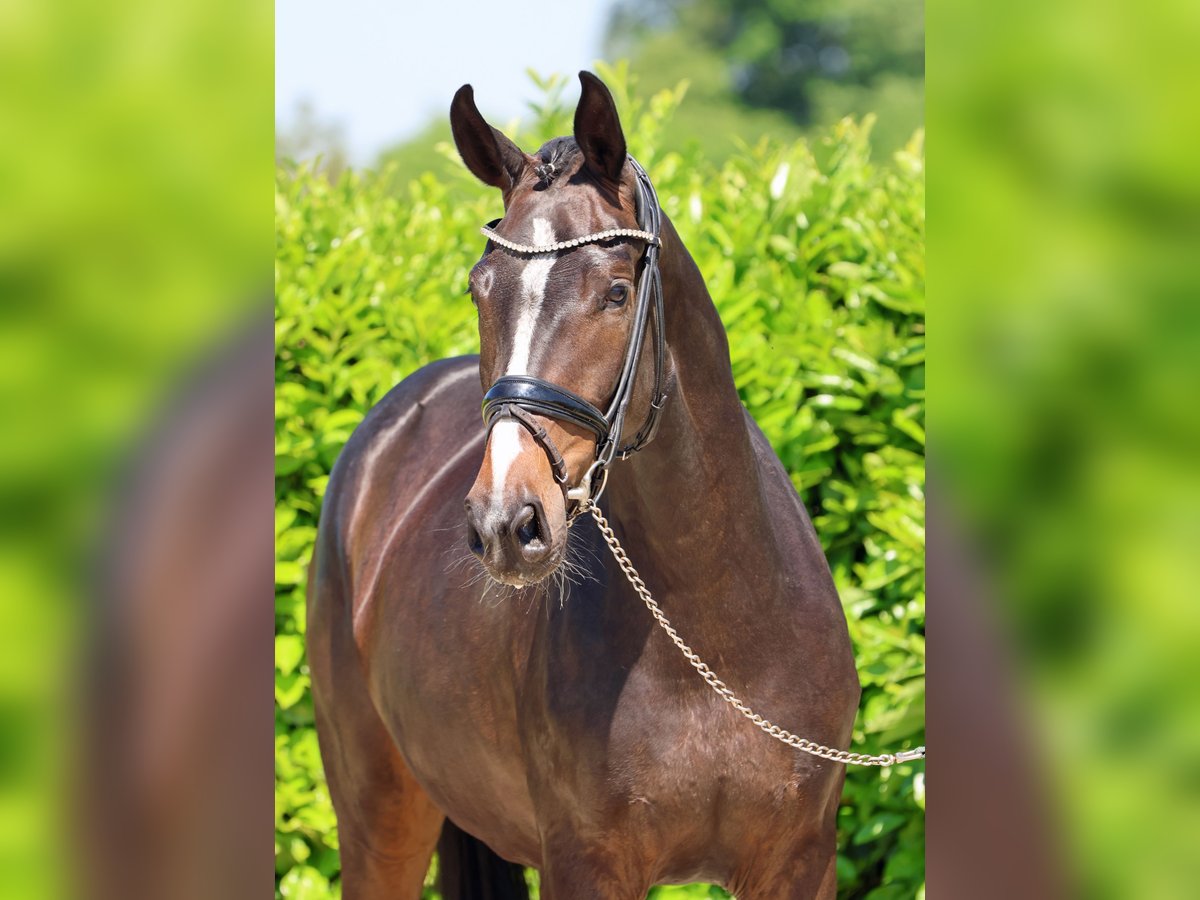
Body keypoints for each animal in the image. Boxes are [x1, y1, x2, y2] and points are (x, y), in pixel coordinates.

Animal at [304, 72, 859, 900]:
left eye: (618, 292)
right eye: (480, 288)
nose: (506, 522)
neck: (715, 632)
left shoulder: (800, 862)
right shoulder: (585, 860)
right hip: (381, 814)